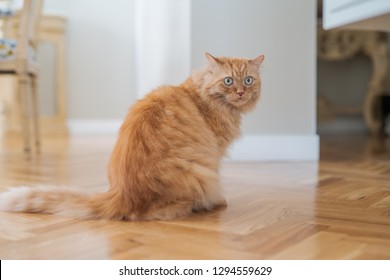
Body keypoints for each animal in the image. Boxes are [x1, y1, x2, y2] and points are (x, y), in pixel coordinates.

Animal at [0, 52, 266, 219]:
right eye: (228, 81)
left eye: (248, 80)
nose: (241, 93)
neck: (199, 94)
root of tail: (120, 195)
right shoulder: (216, 153)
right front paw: (219, 199)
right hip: (202, 170)